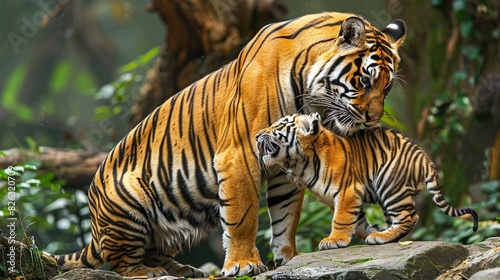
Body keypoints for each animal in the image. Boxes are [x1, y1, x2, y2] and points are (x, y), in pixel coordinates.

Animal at [48, 12, 406, 276]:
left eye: (387, 88)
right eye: (364, 80)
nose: (373, 119)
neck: (309, 91)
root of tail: (95, 226)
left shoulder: (285, 165)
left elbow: (286, 215)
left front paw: (288, 258)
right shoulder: (240, 154)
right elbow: (243, 215)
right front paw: (244, 264)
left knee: (153, 252)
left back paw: (183, 270)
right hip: (129, 201)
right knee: (123, 263)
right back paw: (148, 273)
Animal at [256, 112, 478, 248]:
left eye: (278, 126)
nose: (257, 135)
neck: (300, 164)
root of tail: (425, 159)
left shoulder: (347, 191)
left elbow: (341, 218)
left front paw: (334, 240)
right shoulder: (343, 196)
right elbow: (357, 219)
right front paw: (368, 230)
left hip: (390, 185)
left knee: (409, 217)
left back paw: (381, 237)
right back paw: (382, 234)